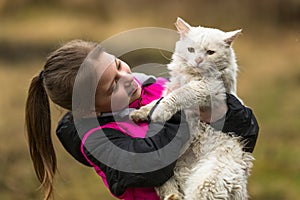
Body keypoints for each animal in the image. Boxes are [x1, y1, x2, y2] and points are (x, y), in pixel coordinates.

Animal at [130, 18, 254, 199]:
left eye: (210, 52)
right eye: (191, 50)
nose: (198, 61)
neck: (192, 75)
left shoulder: (207, 88)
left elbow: (178, 95)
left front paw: (159, 113)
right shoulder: (173, 86)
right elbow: (158, 99)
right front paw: (141, 113)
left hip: (205, 183)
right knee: (166, 184)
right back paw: (172, 196)